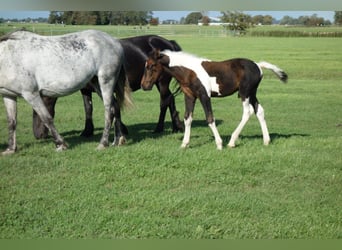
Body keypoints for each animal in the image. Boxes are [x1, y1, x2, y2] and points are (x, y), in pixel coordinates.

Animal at [0, 29, 130, 154]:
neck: (8, 57)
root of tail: (114, 42)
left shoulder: (31, 94)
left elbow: (46, 118)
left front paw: (61, 145)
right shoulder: (8, 95)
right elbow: (11, 122)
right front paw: (10, 150)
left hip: (106, 81)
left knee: (109, 111)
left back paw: (103, 143)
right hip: (96, 82)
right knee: (115, 107)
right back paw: (118, 140)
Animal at [34, 35, 184, 140]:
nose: (37, 135)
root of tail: (168, 42)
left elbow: (112, 105)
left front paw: (122, 130)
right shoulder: (85, 90)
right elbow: (88, 109)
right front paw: (87, 131)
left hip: (162, 82)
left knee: (164, 101)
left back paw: (159, 128)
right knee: (170, 99)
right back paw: (177, 127)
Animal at [140, 49, 288, 149]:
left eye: (151, 66)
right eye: (145, 66)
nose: (144, 85)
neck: (189, 72)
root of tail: (258, 65)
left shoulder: (204, 96)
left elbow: (210, 118)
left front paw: (219, 144)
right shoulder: (190, 96)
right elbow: (187, 118)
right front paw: (184, 144)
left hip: (245, 93)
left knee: (248, 112)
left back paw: (231, 142)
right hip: (252, 94)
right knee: (259, 110)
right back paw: (266, 140)